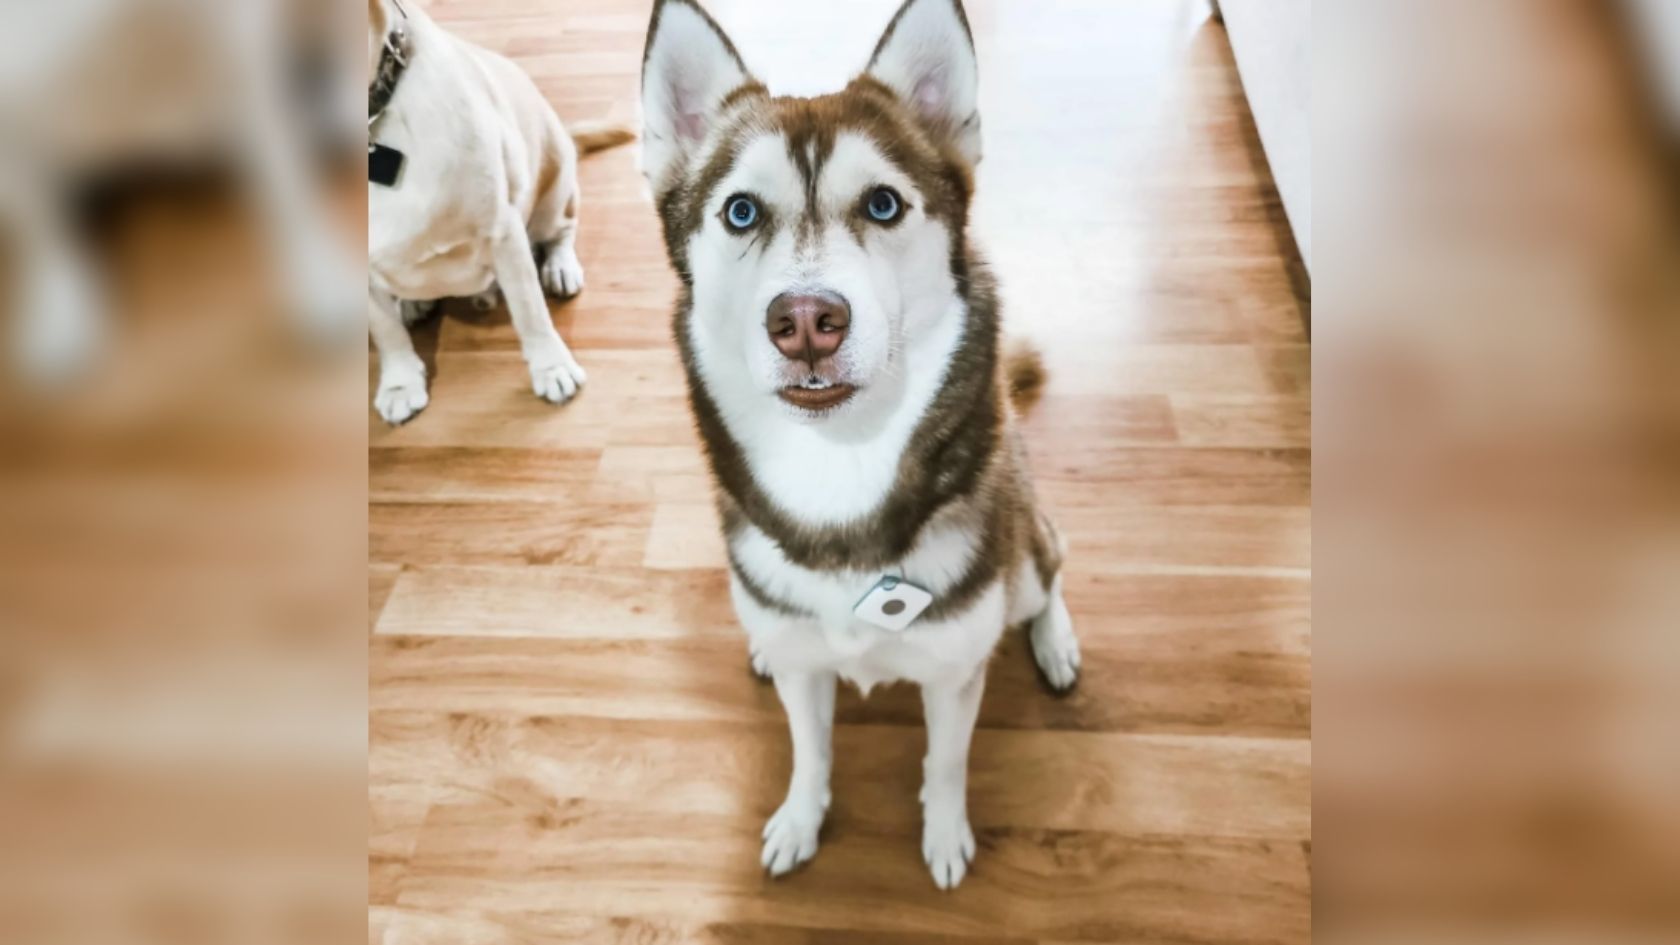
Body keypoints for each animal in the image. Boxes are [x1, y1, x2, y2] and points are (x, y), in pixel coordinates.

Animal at [635, 0, 1081, 887]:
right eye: (741, 212)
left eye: (882, 205)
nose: (807, 319)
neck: (837, 468)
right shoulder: (807, 671)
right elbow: (810, 749)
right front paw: (800, 819)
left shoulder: (953, 671)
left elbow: (946, 762)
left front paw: (944, 835)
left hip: (1022, 553)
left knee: (1048, 566)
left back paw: (1055, 644)